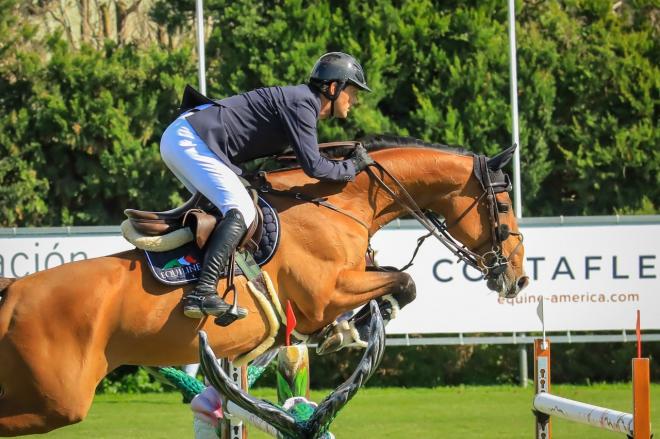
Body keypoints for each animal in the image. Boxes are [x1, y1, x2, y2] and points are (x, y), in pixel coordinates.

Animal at [0, 138, 528, 436]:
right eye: (502, 207)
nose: (518, 278)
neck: (339, 202)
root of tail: (13, 292)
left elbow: (396, 283)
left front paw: (351, 329)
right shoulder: (324, 295)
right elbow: (406, 280)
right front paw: (347, 330)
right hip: (57, 400)